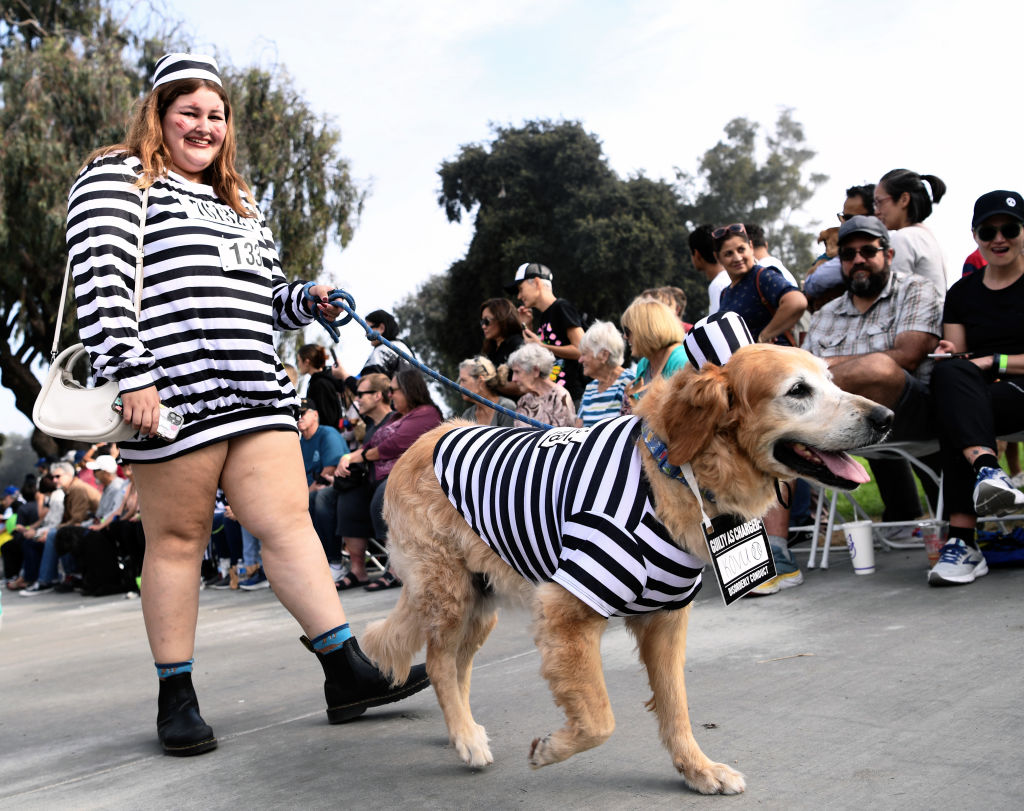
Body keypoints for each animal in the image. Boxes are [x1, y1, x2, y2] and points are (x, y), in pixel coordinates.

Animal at [364, 346, 892, 794]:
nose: (886, 418)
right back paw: (466, 739)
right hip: (449, 595)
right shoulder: (568, 611)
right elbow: (600, 720)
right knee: (437, 662)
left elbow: (676, 707)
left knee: (455, 666)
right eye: (798, 390)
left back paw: (464, 730)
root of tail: (425, 439)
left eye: (830, 379)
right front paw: (551, 748)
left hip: (479, 603)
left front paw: (698, 770)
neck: (672, 470)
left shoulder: (667, 620)